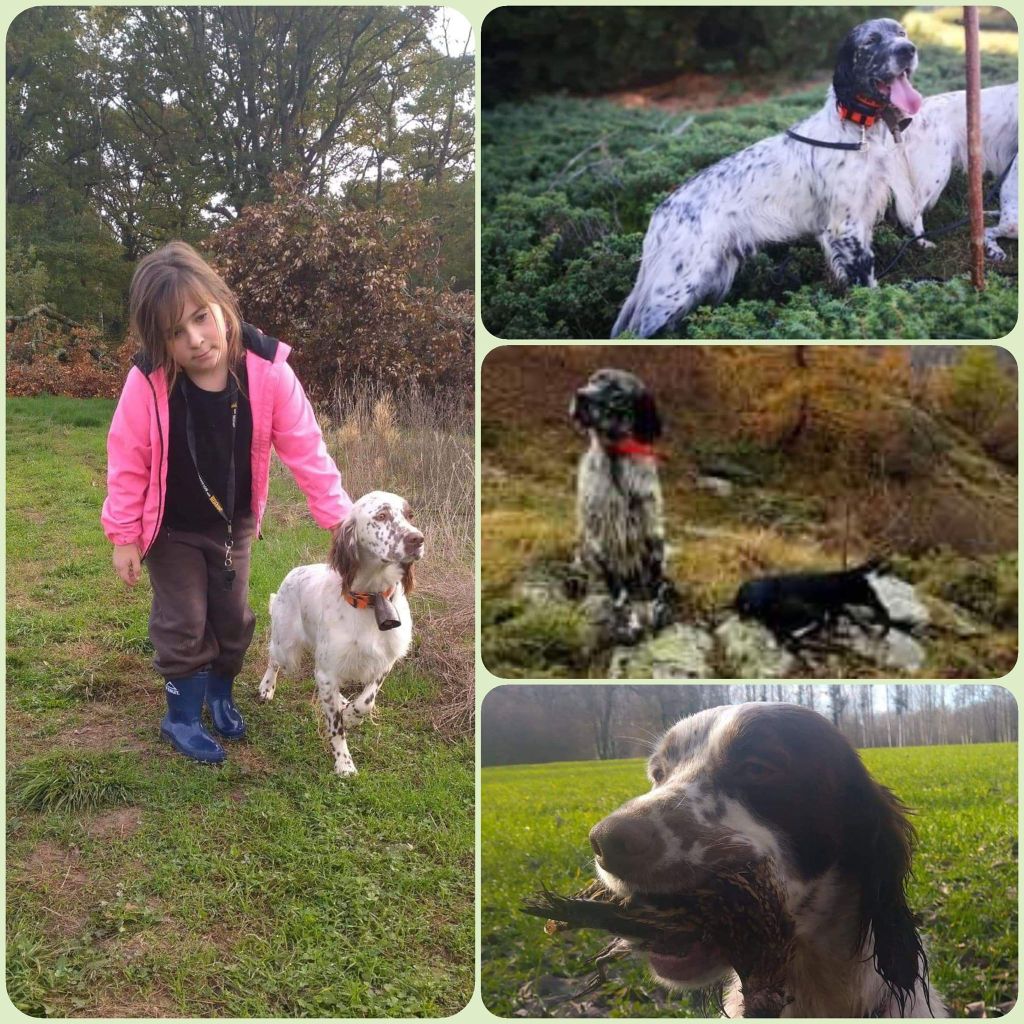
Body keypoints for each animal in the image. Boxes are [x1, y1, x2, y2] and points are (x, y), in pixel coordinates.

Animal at [264, 491, 428, 770]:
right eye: (381, 516)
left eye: (410, 515)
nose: (417, 539)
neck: (371, 600)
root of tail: (294, 571)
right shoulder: (328, 671)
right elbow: (335, 727)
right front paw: (344, 764)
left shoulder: (385, 660)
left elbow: (366, 701)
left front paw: (351, 715)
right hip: (286, 645)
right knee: (273, 658)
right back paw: (266, 687)